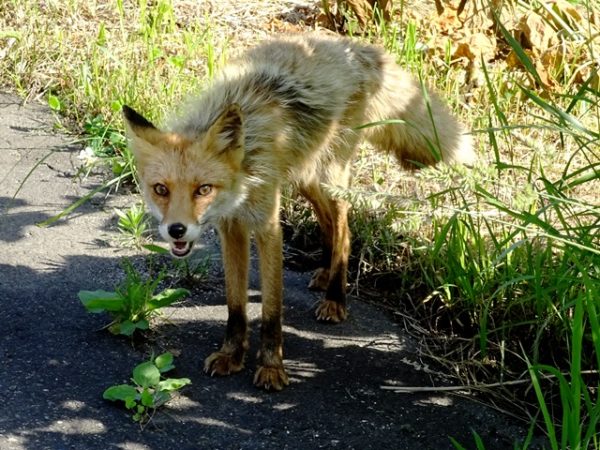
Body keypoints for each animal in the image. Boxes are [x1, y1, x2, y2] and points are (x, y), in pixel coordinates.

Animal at [124, 33, 476, 390]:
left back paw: (336, 296)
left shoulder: (267, 226)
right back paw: (324, 272)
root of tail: (352, 48)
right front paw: (232, 355)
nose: (176, 230)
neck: (246, 169)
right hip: (307, 177)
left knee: (345, 229)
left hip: (330, 176)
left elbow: (271, 310)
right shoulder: (231, 228)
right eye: (161, 189)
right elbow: (236, 305)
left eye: (203, 189)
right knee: (328, 222)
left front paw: (271, 368)